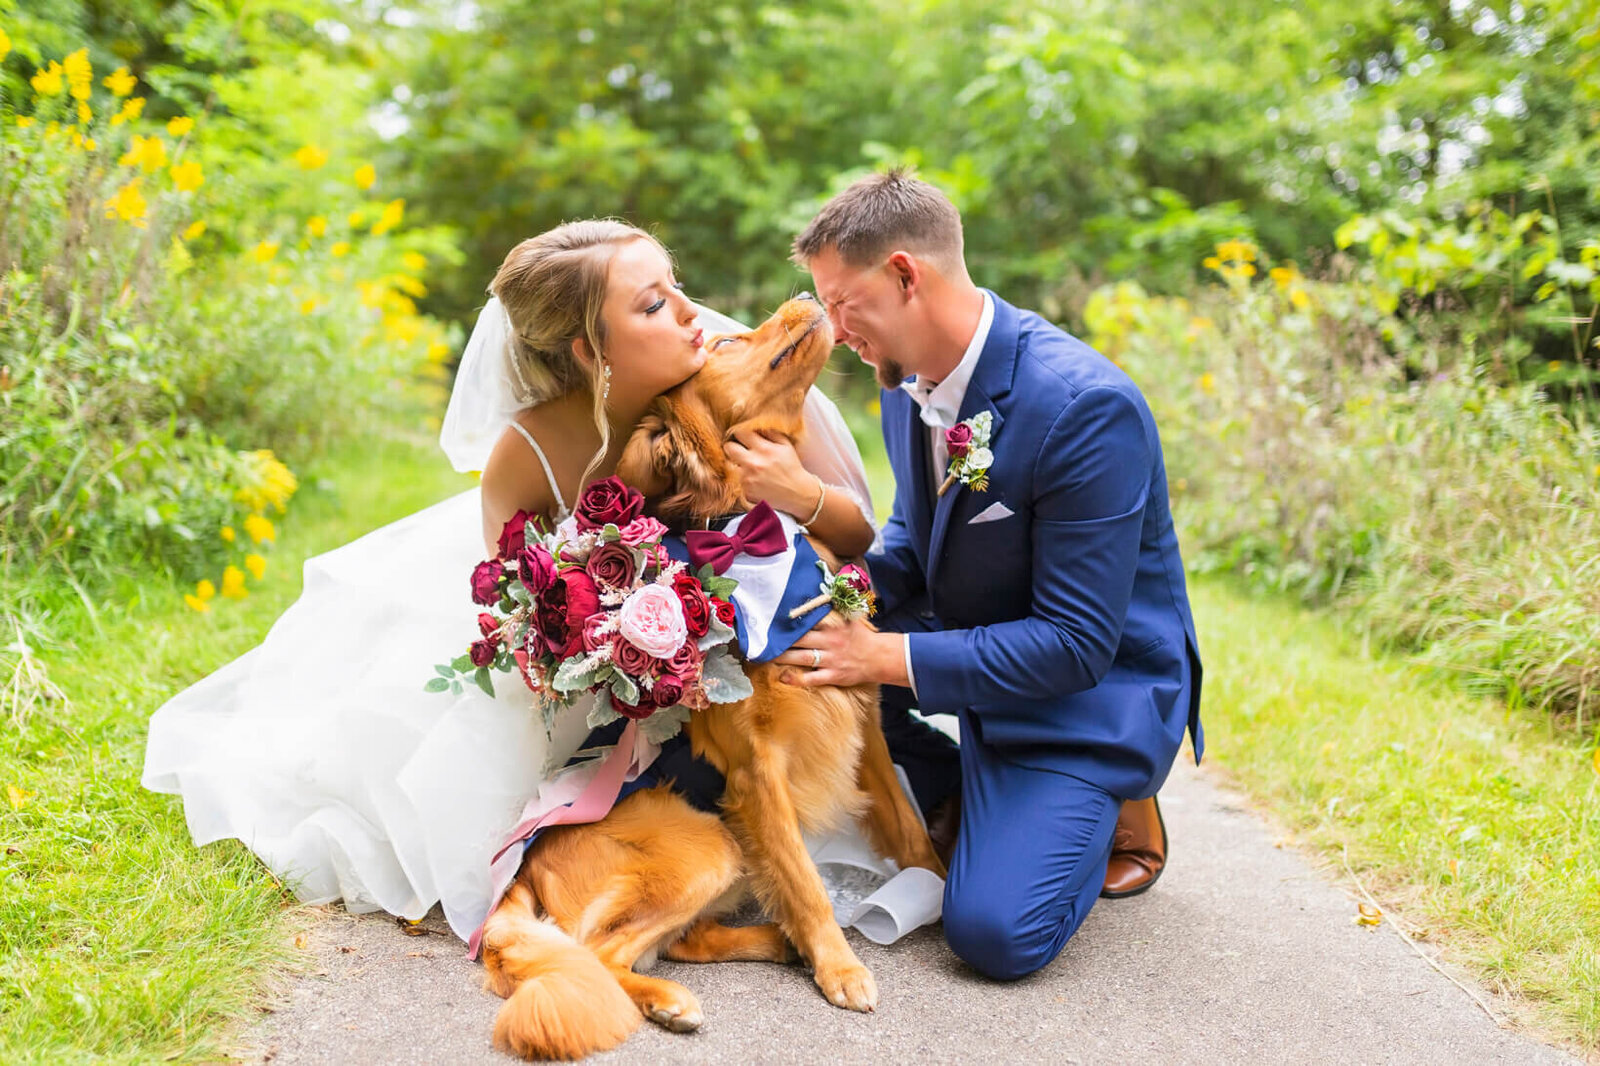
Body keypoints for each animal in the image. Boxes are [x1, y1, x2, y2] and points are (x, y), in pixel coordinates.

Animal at [480, 291, 940, 1056]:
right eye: (725, 346)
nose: (807, 296)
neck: (754, 535)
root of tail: (524, 865)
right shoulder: (756, 771)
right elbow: (805, 879)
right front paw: (841, 968)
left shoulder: (861, 721)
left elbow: (910, 829)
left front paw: (935, 889)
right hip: (705, 846)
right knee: (602, 956)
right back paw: (673, 1000)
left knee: (675, 942)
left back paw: (775, 945)